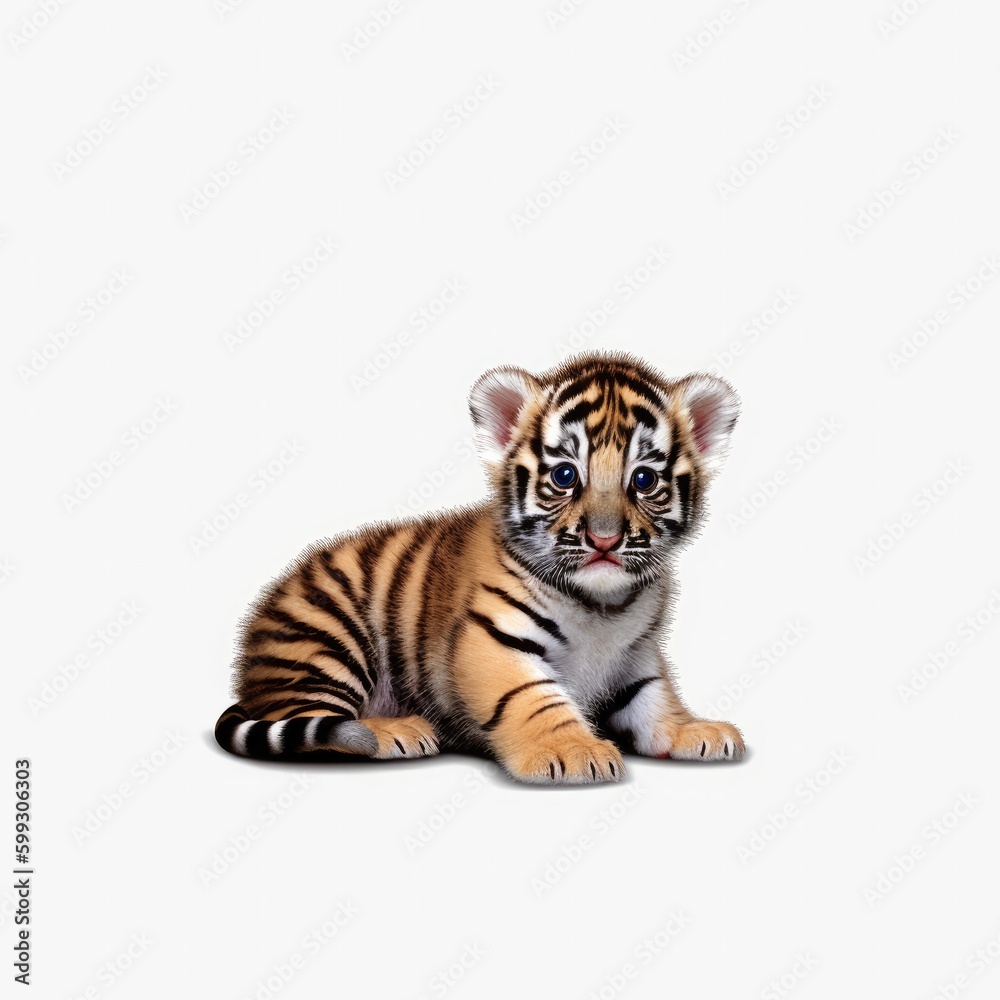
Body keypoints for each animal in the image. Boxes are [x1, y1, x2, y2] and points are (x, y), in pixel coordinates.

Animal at [214, 352, 746, 784]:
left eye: (643, 480)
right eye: (565, 475)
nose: (604, 539)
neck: (603, 605)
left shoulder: (636, 654)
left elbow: (656, 697)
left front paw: (694, 730)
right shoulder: (491, 638)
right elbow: (531, 695)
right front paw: (572, 750)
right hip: (324, 641)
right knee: (310, 718)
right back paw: (394, 732)